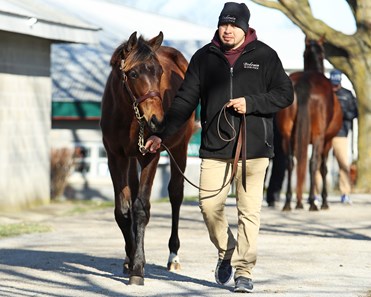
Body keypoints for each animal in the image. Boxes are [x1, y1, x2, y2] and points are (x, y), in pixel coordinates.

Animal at [100, 31, 196, 284]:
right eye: (133, 73)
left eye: (160, 72)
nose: (158, 121)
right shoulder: (115, 157)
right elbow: (124, 211)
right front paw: (131, 257)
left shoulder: (151, 155)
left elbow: (142, 208)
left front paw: (138, 268)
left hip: (180, 148)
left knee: (176, 194)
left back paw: (173, 256)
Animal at [276, 37, 342, 210]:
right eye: (323, 53)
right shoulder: (327, 141)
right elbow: (323, 168)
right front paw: (323, 201)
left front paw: (299, 201)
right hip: (319, 136)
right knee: (313, 163)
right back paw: (313, 202)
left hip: (287, 136)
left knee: (290, 163)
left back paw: (289, 202)